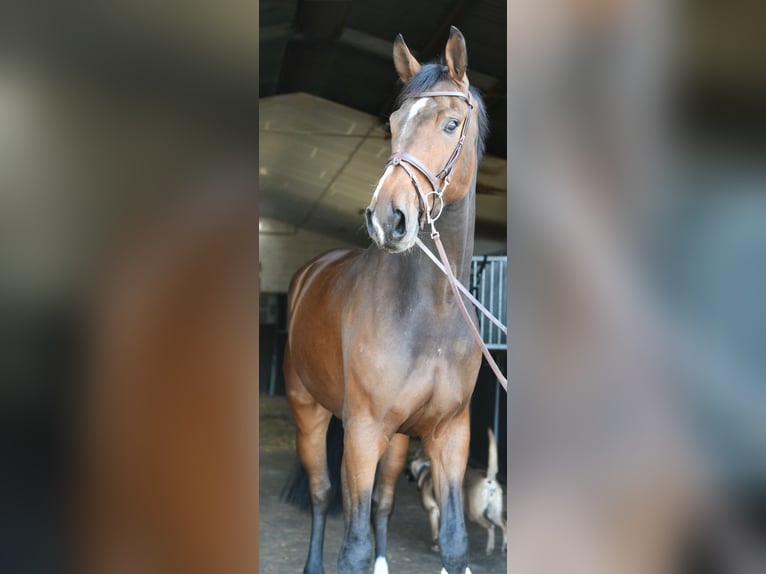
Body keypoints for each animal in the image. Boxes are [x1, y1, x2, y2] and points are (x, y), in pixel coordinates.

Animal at [283, 27, 489, 574]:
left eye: (451, 123)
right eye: (395, 123)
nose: (386, 218)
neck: (432, 314)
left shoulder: (449, 434)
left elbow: (454, 540)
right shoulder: (362, 431)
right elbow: (350, 546)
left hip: (397, 439)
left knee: (383, 502)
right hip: (309, 411)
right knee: (320, 493)